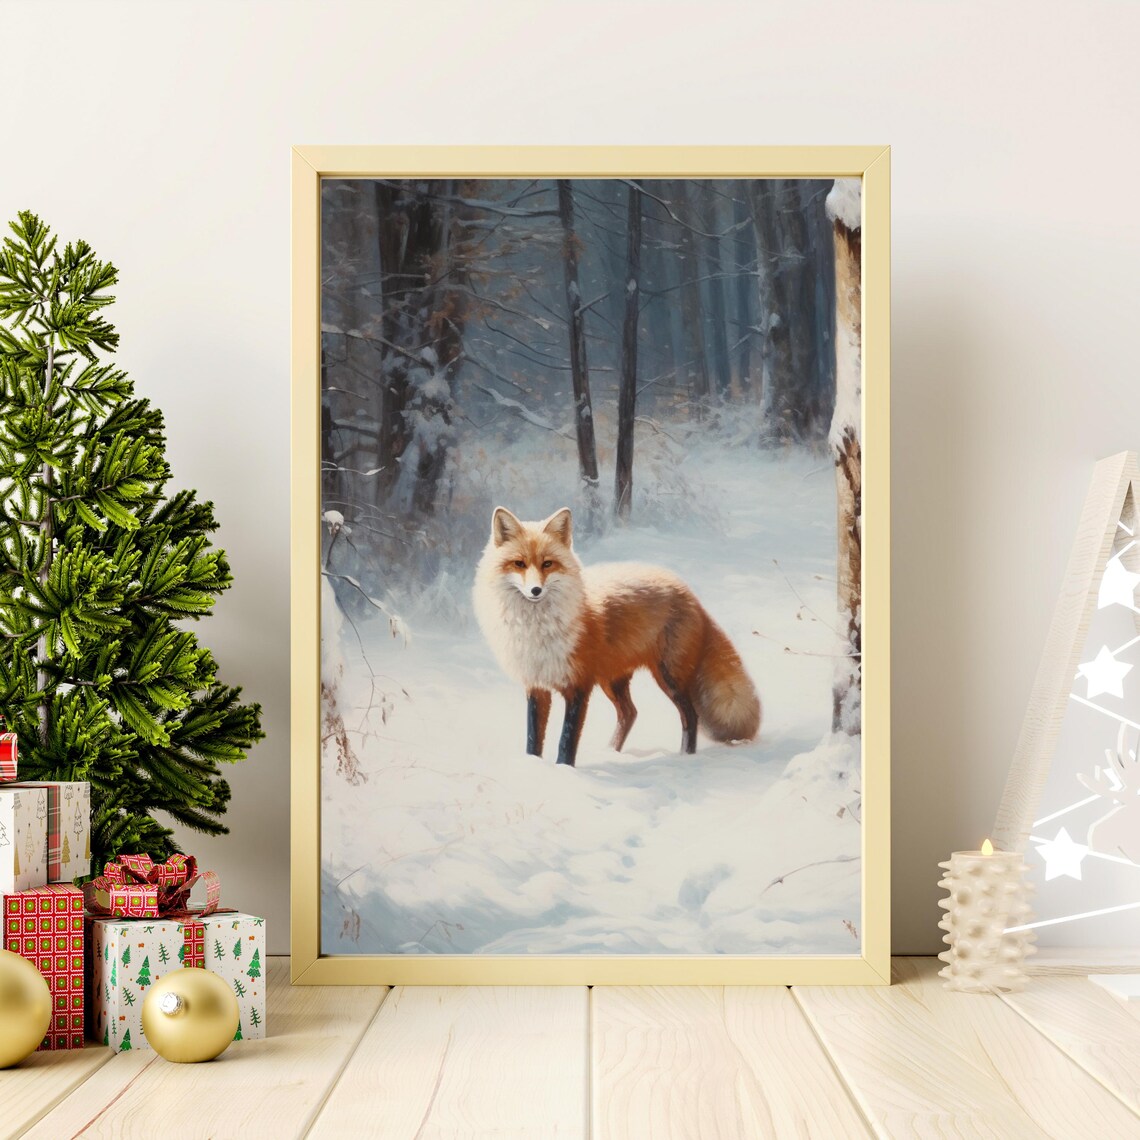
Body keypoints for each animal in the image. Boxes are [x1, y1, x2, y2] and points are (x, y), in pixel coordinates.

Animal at [472, 506, 761, 766]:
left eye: (547, 564)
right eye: (519, 564)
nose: (535, 590)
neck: (538, 629)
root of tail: (687, 592)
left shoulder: (578, 685)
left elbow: (567, 740)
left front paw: (564, 770)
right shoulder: (537, 685)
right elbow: (534, 739)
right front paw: (534, 767)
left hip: (668, 676)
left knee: (690, 715)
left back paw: (684, 757)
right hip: (613, 680)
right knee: (630, 713)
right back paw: (612, 752)